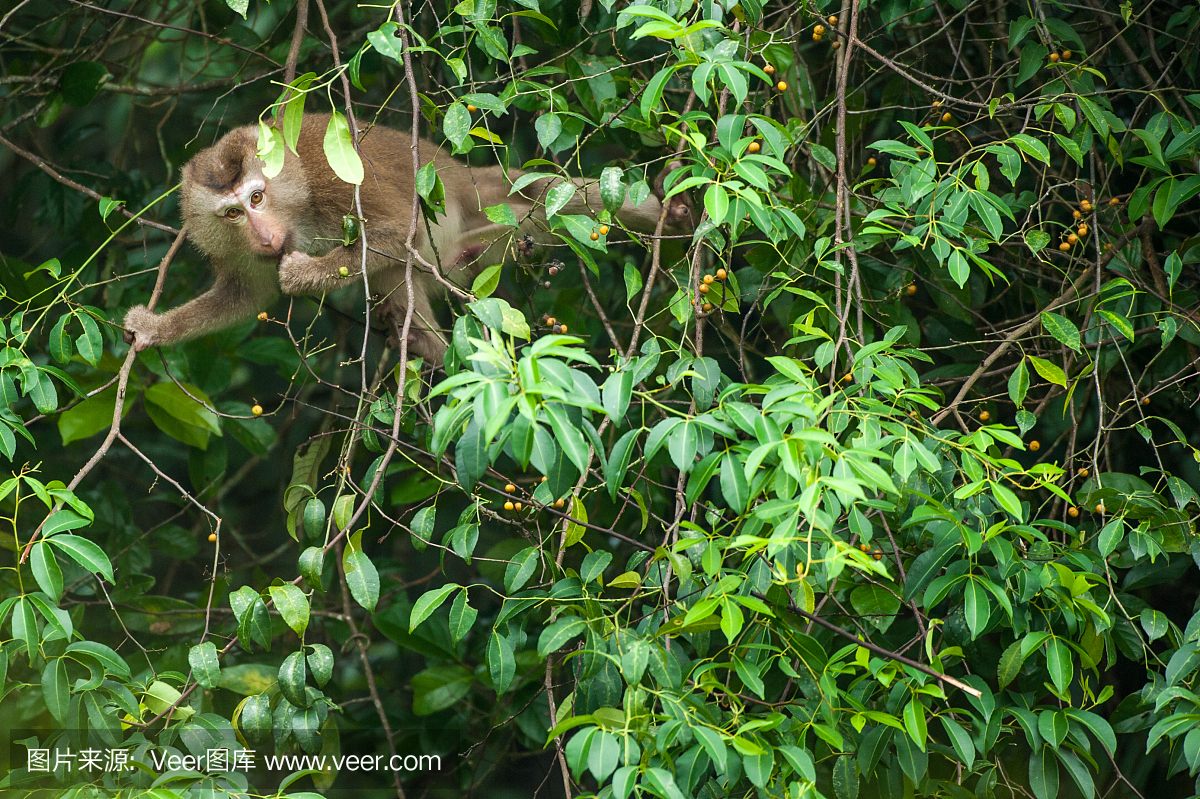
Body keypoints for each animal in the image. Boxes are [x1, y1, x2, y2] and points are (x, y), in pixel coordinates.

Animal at [124, 110, 696, 359]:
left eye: (258, 198)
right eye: (232, 214)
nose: (265, 236)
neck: (296, 194)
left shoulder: (335, 179)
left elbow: (404, 228)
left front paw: (303, 274)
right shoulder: (244, 254)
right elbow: (248, 294)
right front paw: (154, 328)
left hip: (489, 208)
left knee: (548, 195)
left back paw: (672, 214)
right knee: (394, 278)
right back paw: (436, 352)